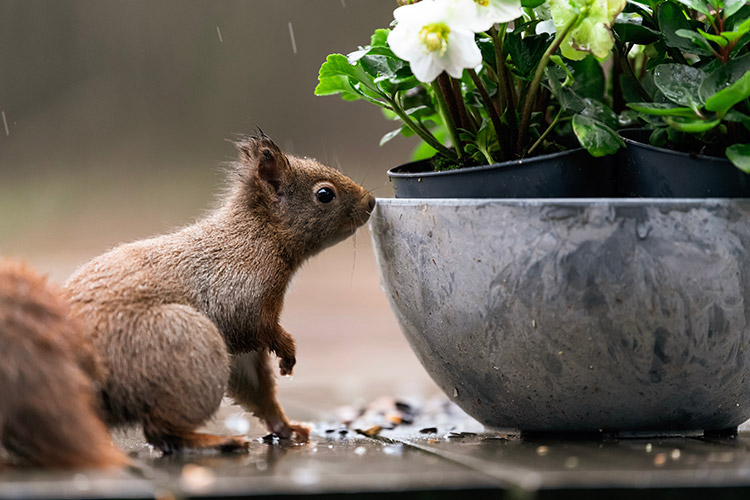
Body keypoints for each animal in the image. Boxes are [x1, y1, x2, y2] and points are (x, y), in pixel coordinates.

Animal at [64, 133, 376, 453]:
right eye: (325, 194)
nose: (371, 201)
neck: (262, 233)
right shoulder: (240, 291)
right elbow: (252, 323)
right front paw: (287, 349)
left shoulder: (243, 350)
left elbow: (256, 384)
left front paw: (285, 427)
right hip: (186, 347)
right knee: (161, 431)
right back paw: (216, 441)